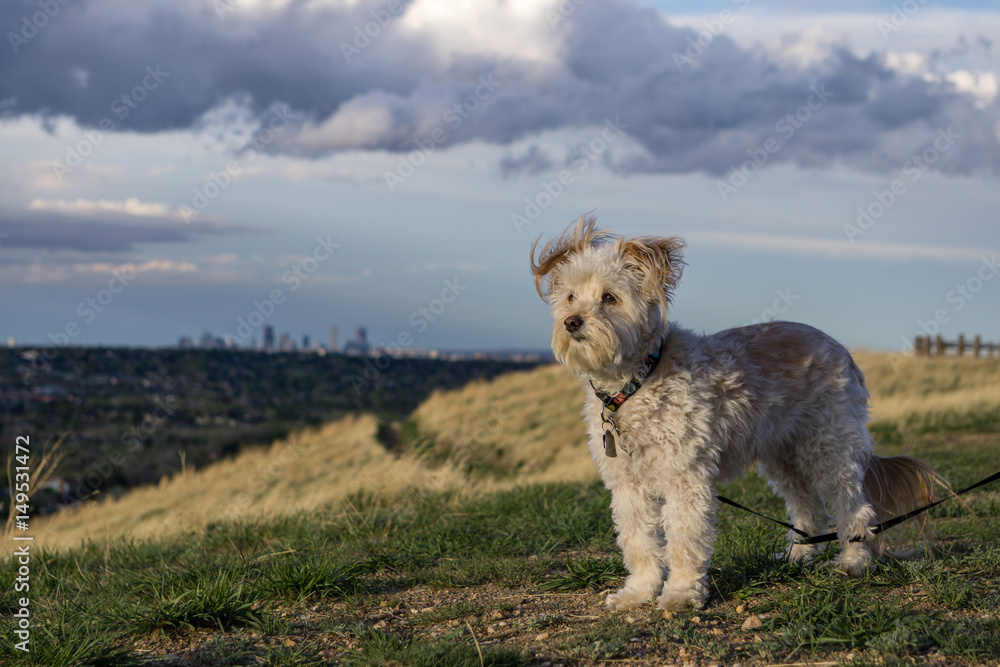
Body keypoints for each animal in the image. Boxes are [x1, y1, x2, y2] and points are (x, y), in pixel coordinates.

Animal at [532, 217, 936, 612]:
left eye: (609, 297)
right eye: (570, 296)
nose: (571, 321)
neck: (635, 382)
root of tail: (841, 349)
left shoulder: (685, 478)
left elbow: (683, 541)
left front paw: (680, 594)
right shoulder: (627, 484)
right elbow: (638, 542)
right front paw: (640, 592)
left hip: (829, 447)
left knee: (854, 508)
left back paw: (853, 561)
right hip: (784, 458)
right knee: (810, 511)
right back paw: (797, 558)